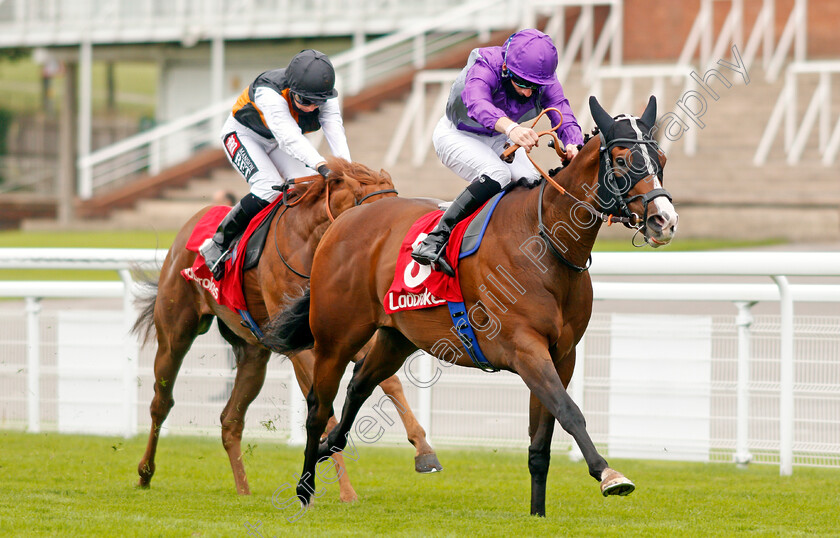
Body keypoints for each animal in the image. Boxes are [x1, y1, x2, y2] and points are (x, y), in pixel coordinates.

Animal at [130, 158, 442, 498]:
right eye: (375, 214)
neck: (310, 245)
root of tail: (191, 223)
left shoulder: (346, 335)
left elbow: (389, 383)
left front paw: (424, 451)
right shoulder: (307, 348)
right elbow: (326, 410)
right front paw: (341, 489)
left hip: (253, 354)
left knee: (231, 420)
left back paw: (244, 491)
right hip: (175, 332)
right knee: (162, 401)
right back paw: (145, 473)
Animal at [266, 97, 680, 516]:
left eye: (660, 157)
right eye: (624, 159)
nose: (664, 220)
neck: (546, 243)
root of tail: (344, 219)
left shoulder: (562, 354)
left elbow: (541, 441)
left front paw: (538, 512)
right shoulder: (525, 349)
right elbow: (569, 411)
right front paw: (609, 474)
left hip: (397, 338)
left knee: (359, 386)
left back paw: (331, 447)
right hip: (336, 337)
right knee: (318, 407)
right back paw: (304, 488)